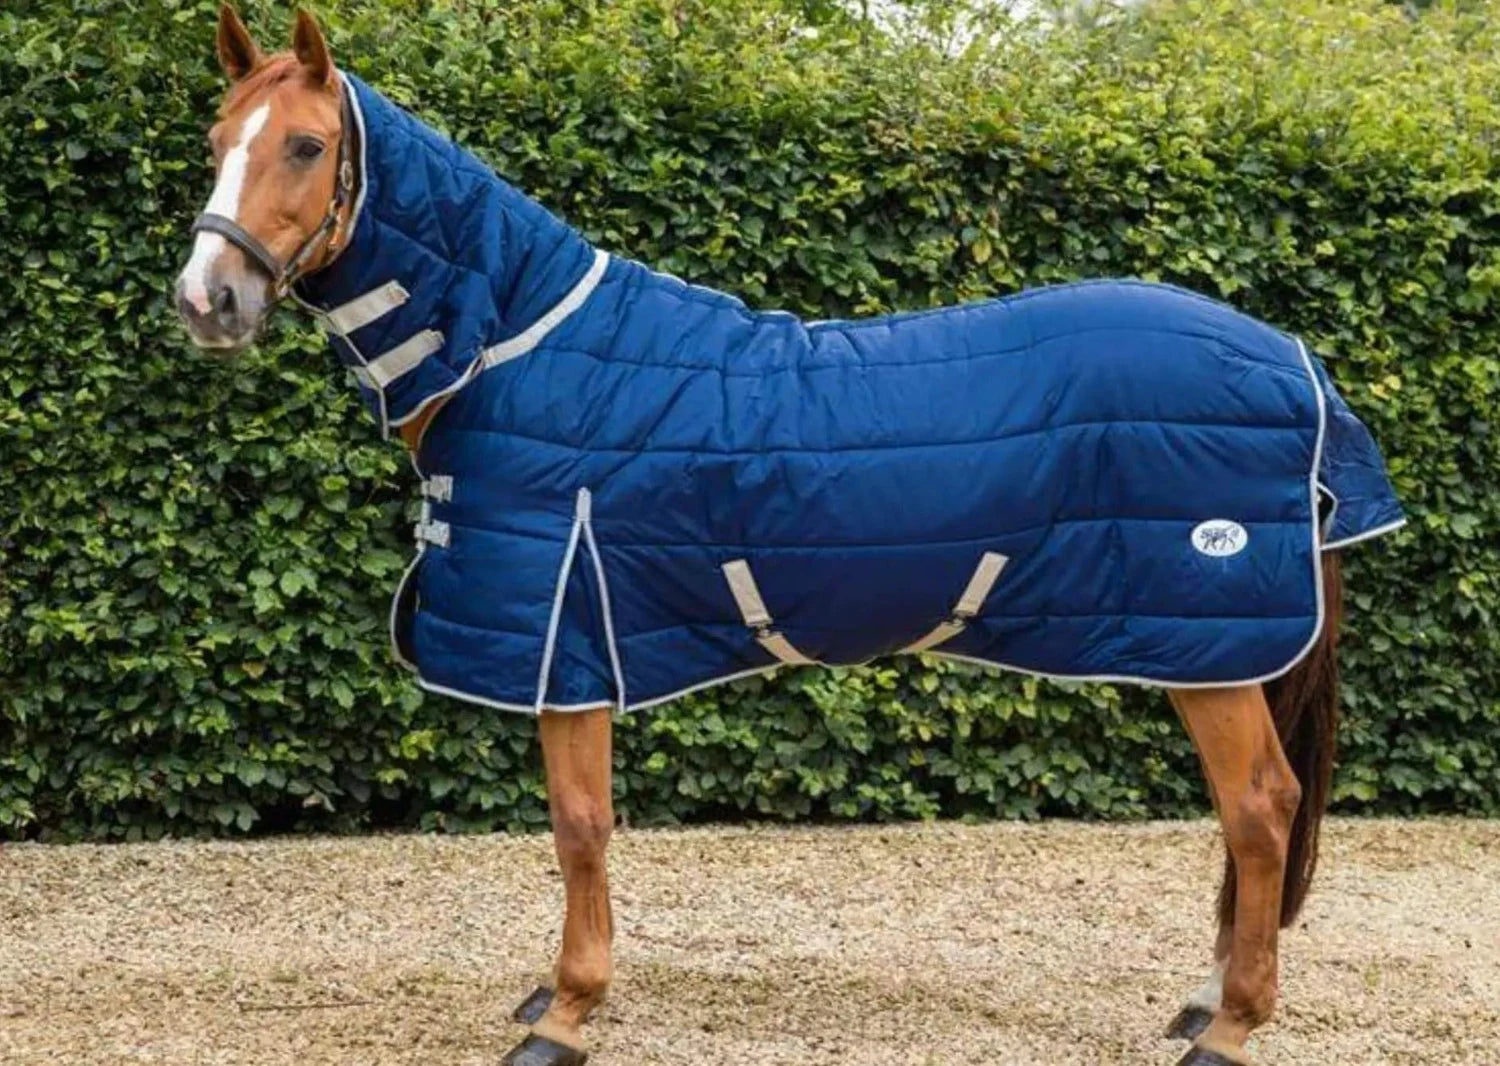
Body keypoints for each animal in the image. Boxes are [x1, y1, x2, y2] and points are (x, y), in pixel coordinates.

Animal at [174, 8, 1404, 1065]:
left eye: (306, 145)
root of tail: (1295, 361)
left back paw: (1230, 1025)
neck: (517, 347)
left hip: (1215, 645)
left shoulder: (569, 639)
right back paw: (1205, 996)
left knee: (1261, 809)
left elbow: (580, 826)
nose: (207, 300)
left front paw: (567, 1009)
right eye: (217, 142)